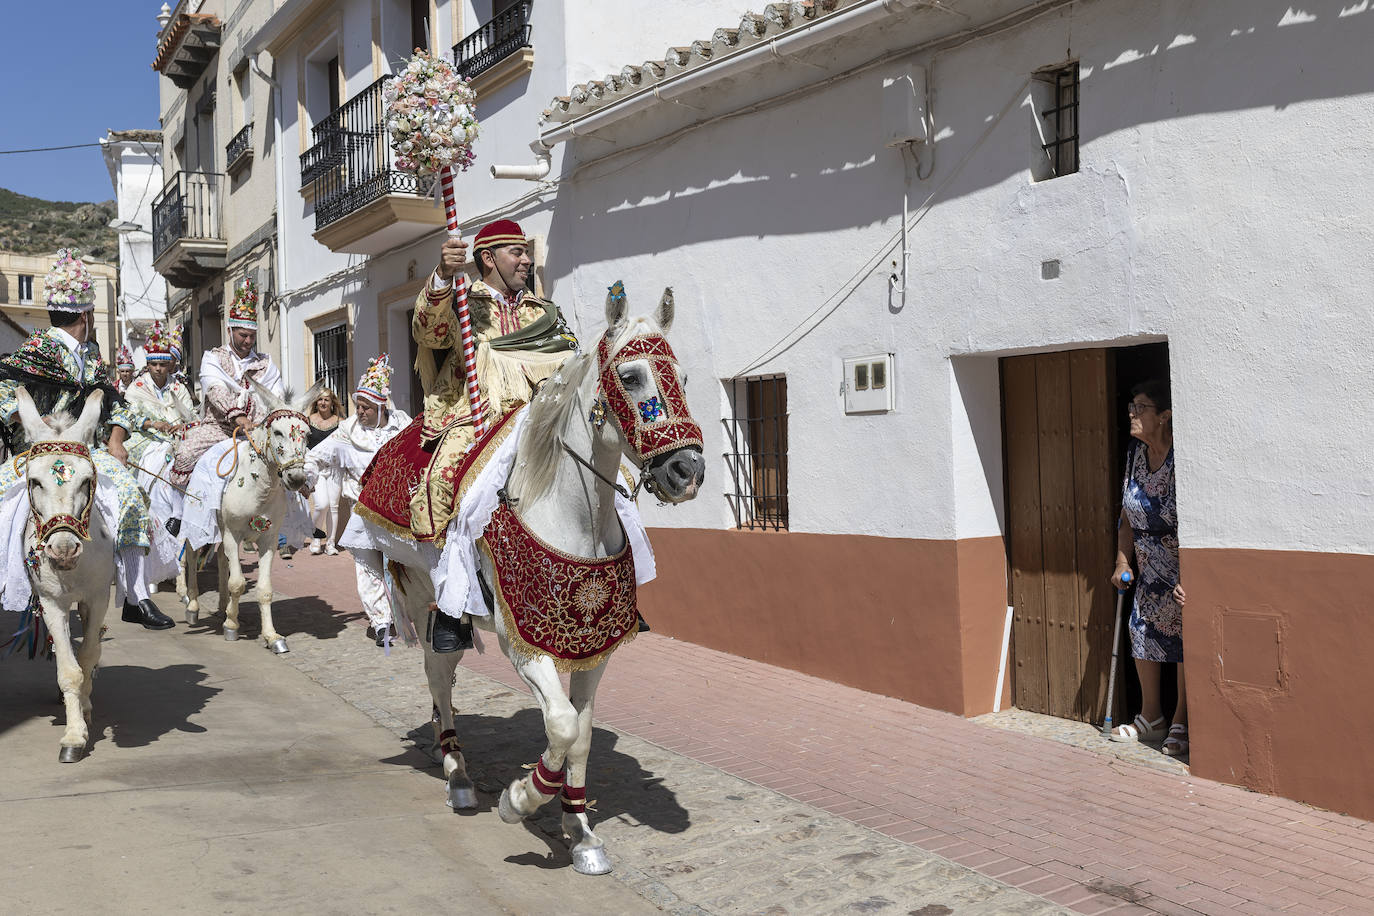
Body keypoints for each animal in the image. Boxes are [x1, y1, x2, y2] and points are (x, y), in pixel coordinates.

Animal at [12, 390, 116, 763]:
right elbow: (69, 670)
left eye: (87, 481)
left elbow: (88, 656)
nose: (63, 550)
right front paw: (74, 737)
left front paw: (83, 710)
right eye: (34, 482)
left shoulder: (98, 597)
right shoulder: (52, 602)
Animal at [181, 379, 317, 650]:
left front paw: (272, 637)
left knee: (221, 559)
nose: (297, 479)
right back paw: (193, 606)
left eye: (307, 434)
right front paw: (231, 627)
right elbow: (238, 583)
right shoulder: (233, 534)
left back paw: (223, 607)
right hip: (195, 523)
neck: (257, 487)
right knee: (191, 555)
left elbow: (263, 589)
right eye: (278, 432)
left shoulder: (268, 539)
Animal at [373, 284, 703, 873]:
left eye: (682, 377)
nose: (688, 471)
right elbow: (562, 725)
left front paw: (580, 831)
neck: (572, 516)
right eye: (631, 377)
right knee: (438, 674)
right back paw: (458, 775)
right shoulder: (524, 645)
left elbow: (582, 733)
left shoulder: (594, 648)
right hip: (427, 600)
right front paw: (521, 799)